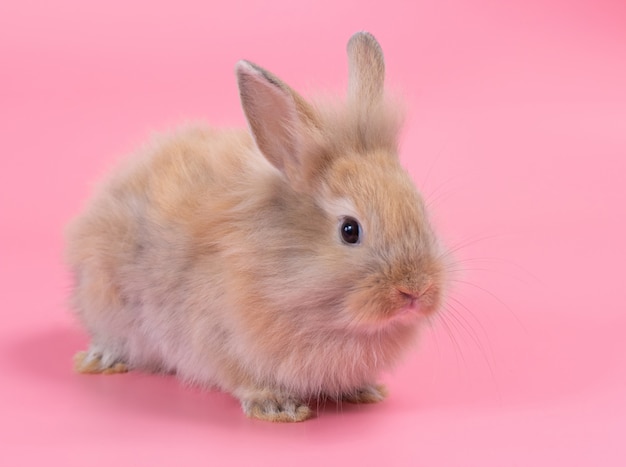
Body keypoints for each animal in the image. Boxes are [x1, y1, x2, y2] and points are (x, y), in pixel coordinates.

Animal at [66, 31, 446, 422]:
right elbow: (246, 378)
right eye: (350, 230)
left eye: (419, 209)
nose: (416, 290)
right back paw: (102, 358)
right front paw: (279, 407)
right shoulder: (220, 340)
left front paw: (364, 390)